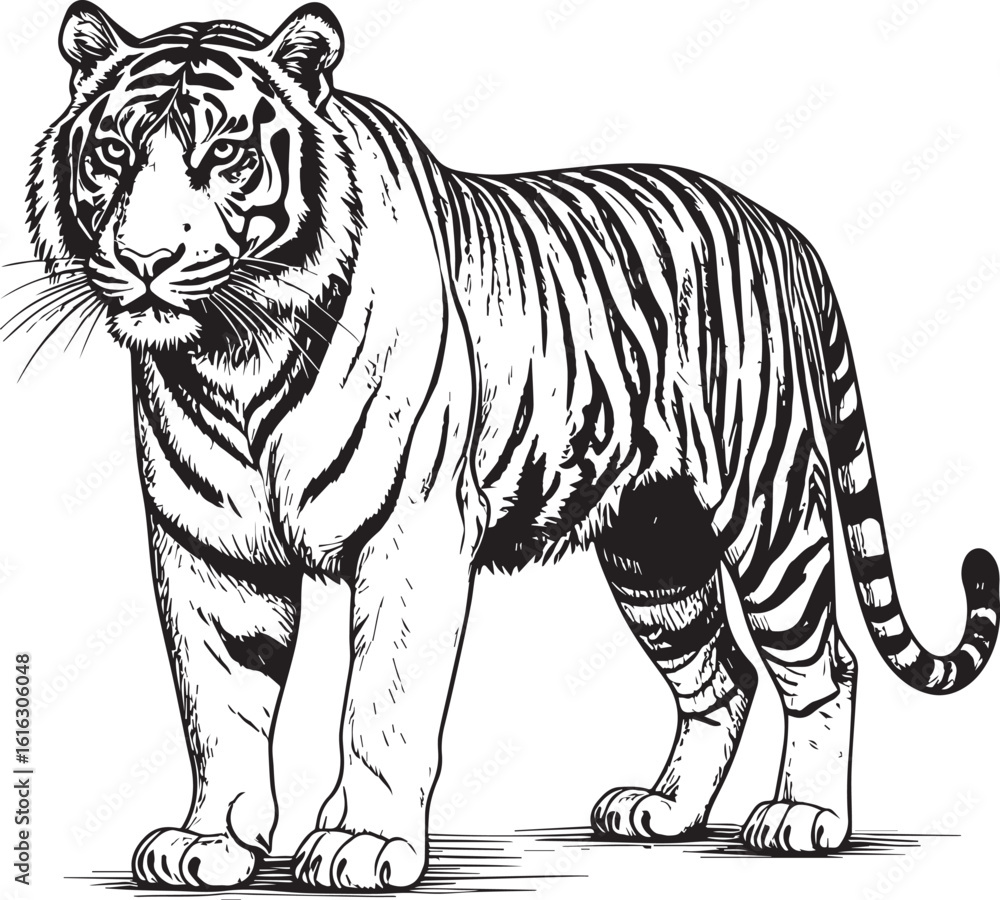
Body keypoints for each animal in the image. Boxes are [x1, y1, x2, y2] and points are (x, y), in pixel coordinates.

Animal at [21, 0, 998, 891]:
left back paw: (803, 817)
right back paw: (663, 810)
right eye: (114, 154)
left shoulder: (412, 534)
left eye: (225, 155)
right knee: (721, 673)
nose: (146, 260)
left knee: (821, 664)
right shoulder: (208, 547)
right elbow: (221, 705)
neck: (235, 355)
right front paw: (209, 843)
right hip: (654, 544)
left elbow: (380, 704)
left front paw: (362, 844)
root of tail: (784, 232)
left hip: (768, 515)